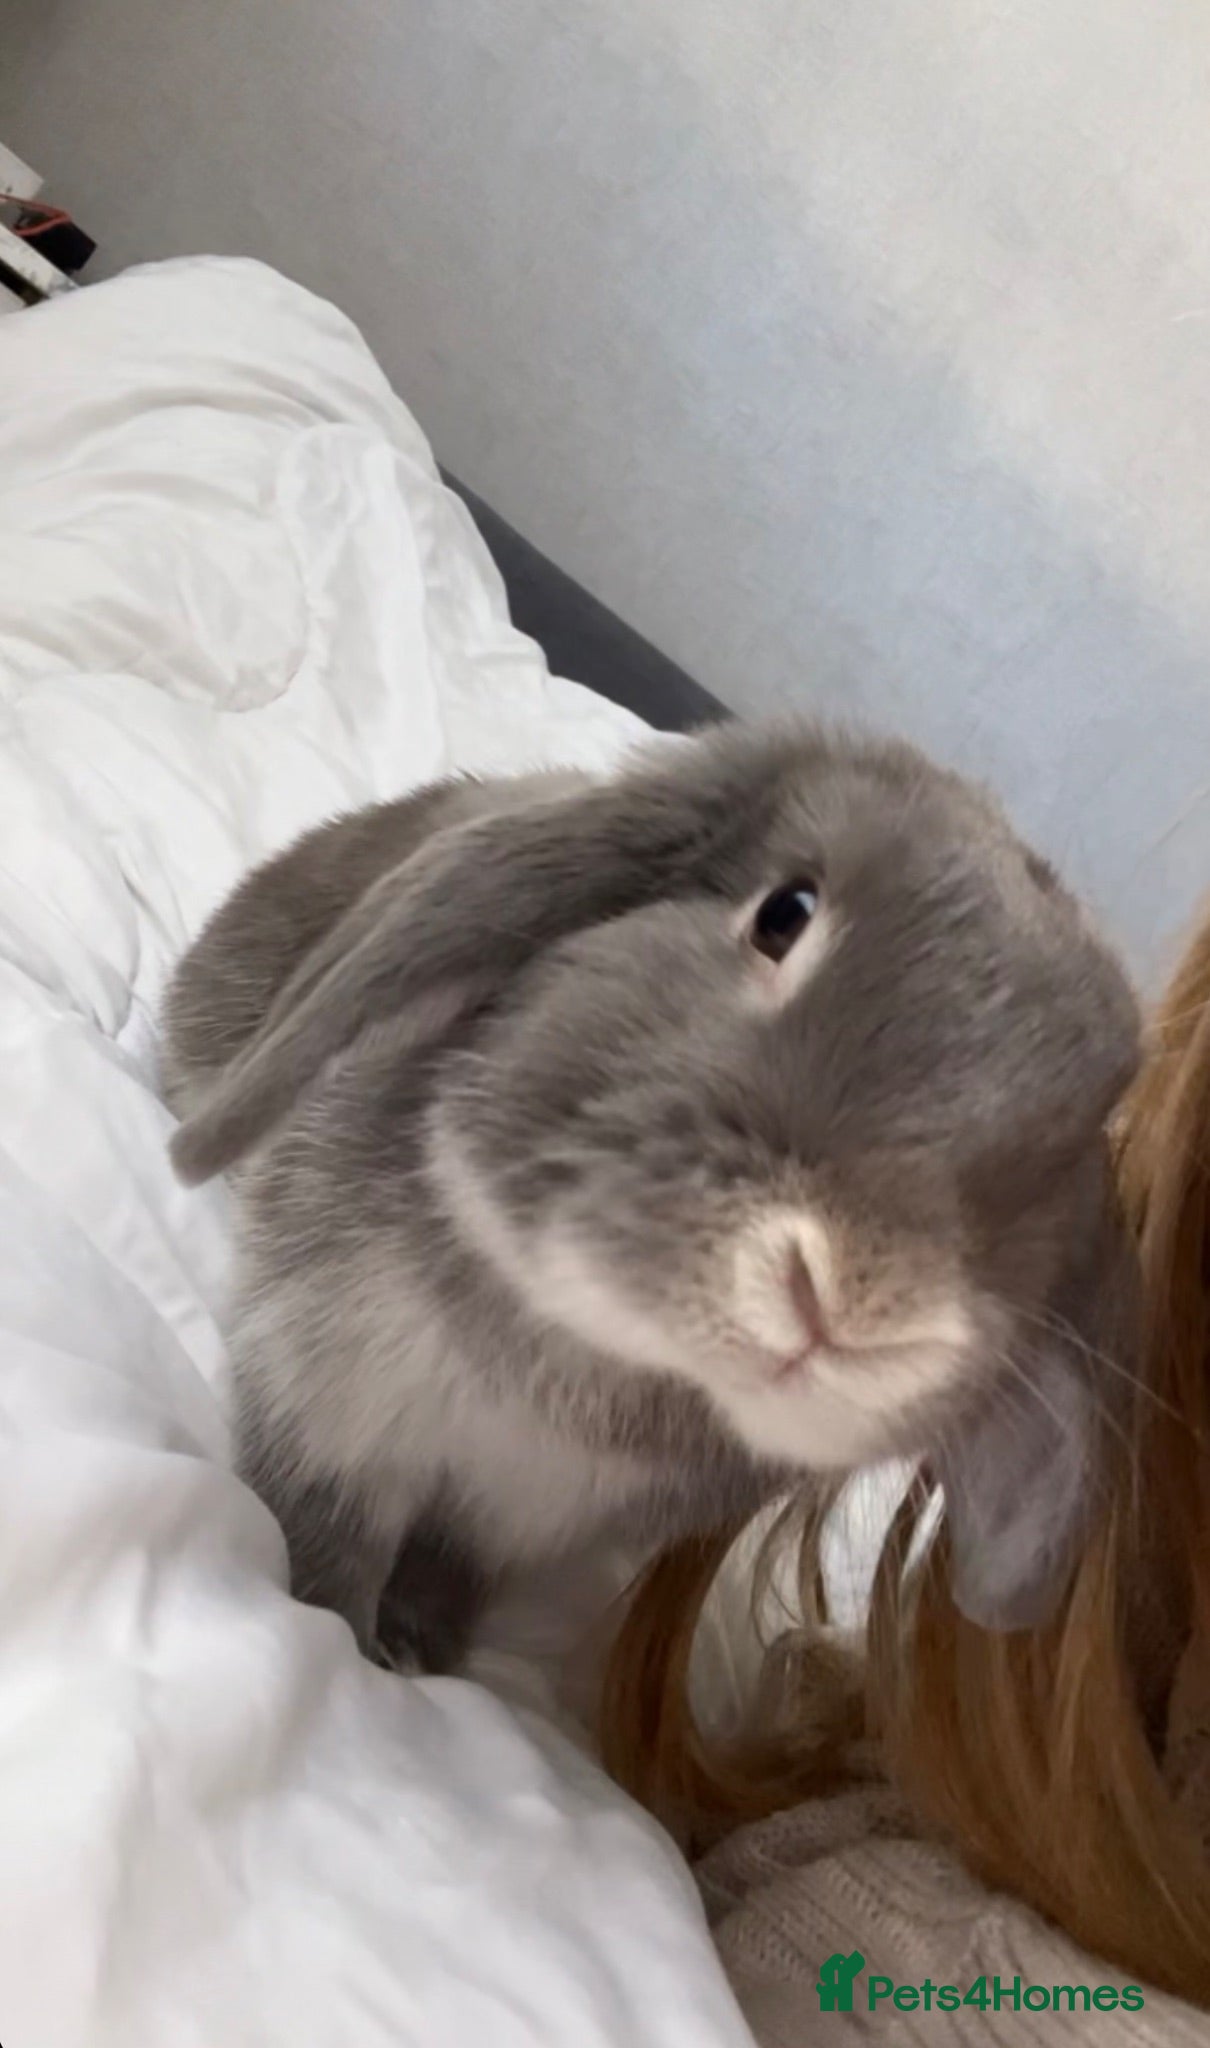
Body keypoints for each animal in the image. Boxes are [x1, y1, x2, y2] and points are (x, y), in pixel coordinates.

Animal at [162, 721, 1141, 1672]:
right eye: (784, 914)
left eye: (1070, 1153)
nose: (854, 1306)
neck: (598, 1351)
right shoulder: (331, 1409)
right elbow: (329, 1542)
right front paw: (342, 1631)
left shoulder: (518, 1519)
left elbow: (454, 1562)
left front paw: (423, 1641)